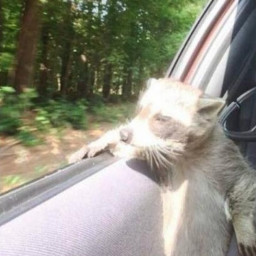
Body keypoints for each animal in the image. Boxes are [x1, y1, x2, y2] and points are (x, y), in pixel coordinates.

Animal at [69, 78, 256, 256]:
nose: (124, 134)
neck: (186, 152)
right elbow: (135, 149)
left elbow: (244, 183)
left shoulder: (223, 155)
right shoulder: (164, 160)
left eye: (161, 118)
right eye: (141, 108)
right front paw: (107, 139)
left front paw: (243, 224)